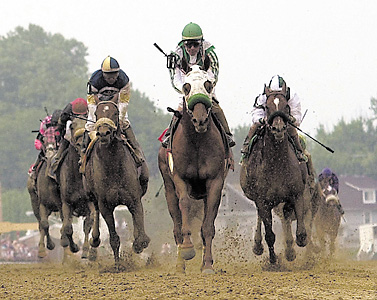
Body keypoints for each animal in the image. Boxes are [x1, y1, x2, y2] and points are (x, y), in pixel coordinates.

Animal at [57, 116, 96, 258]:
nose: (80, 144)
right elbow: (68, 227)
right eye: (72, 126)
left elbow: (88, 224)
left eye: (87, 124)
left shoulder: (90, 203)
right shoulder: (66, 203)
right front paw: (73, 247)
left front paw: (85, 250)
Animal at [83, 101, 150, 268]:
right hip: (91, 194)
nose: (103, 133)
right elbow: (113, 238)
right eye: (97, 114)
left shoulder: (134, 199)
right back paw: (94, 241)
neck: (113, 165)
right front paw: (118, 265)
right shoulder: (105, 205)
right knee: (95, 211)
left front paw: (139, 244)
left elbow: (140, 233)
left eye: (115, 112)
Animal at [156, 67, 228, 274]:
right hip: (168, 188)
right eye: (186, 87)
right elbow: (185, 205)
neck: (196, 141)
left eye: (208, 85)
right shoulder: (180, 178)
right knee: (176, 224)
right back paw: (180, 265)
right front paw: (187, 249)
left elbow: (208, 226)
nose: (200, 120)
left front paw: (208, 265)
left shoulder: (214, 182)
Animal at [239, 82, 306, 262]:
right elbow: (269, 234)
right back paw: (257, 245)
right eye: (267, 107)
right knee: (259, 217)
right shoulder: (262, 200)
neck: (277, 164)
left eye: (286, 106)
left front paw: (292, 248)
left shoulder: (295, 194)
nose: (278, 128)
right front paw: (273, 260)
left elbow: (300, 233)